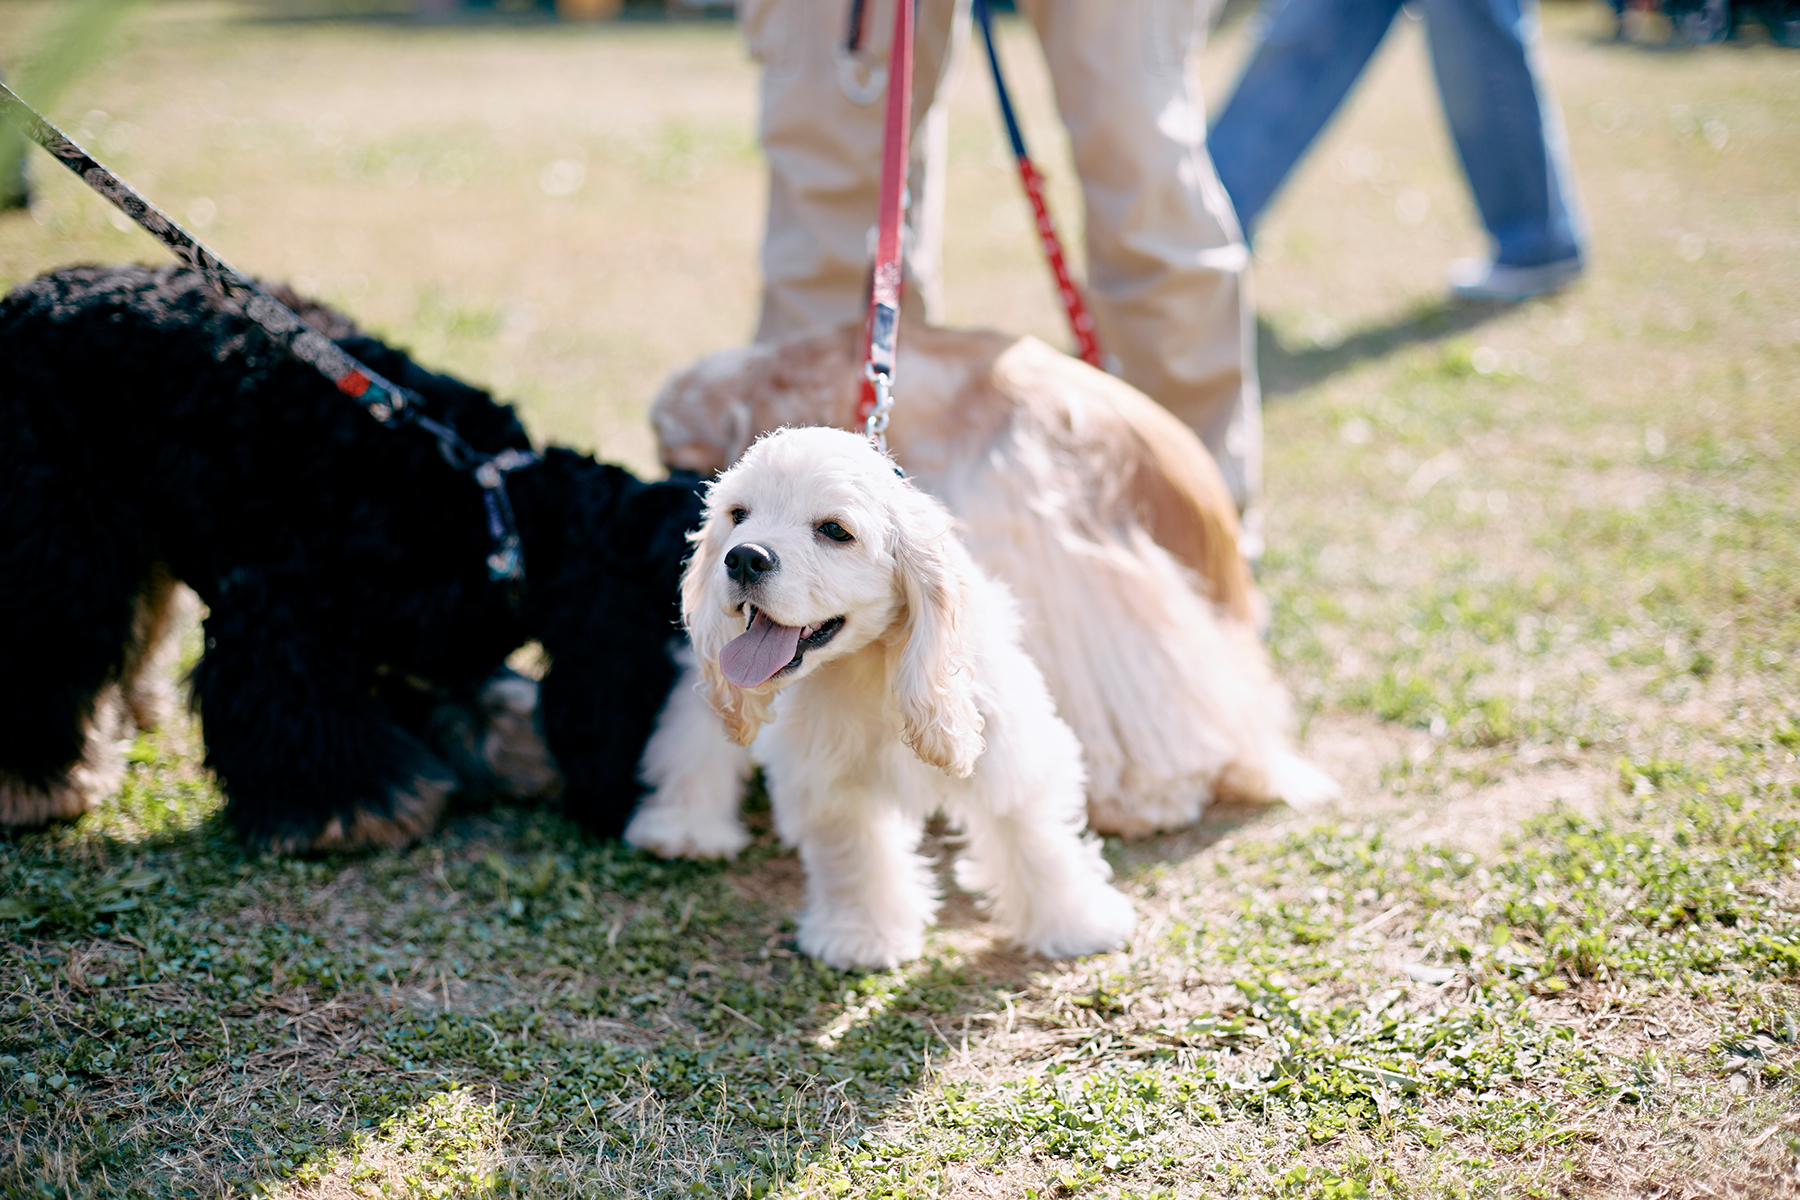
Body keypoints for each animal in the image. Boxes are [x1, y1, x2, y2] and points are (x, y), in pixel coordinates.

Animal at [0, 264, 698, 852]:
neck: (499, 511)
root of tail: (24, 297)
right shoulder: (275, 607)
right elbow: (300, 712)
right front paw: (362, 811)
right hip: (63, 543)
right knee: (50, 653)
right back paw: (42, 788)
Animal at [633, 426, 1130, 971]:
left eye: (834, 530)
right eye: (738, 514)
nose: (743, 557)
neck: (870, 663)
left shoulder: (1008, 749)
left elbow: (1035, 838)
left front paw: (1074, 924)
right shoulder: (829, 775)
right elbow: (855, 852)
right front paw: (859, 937)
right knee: (693, 739)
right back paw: (684, 827)